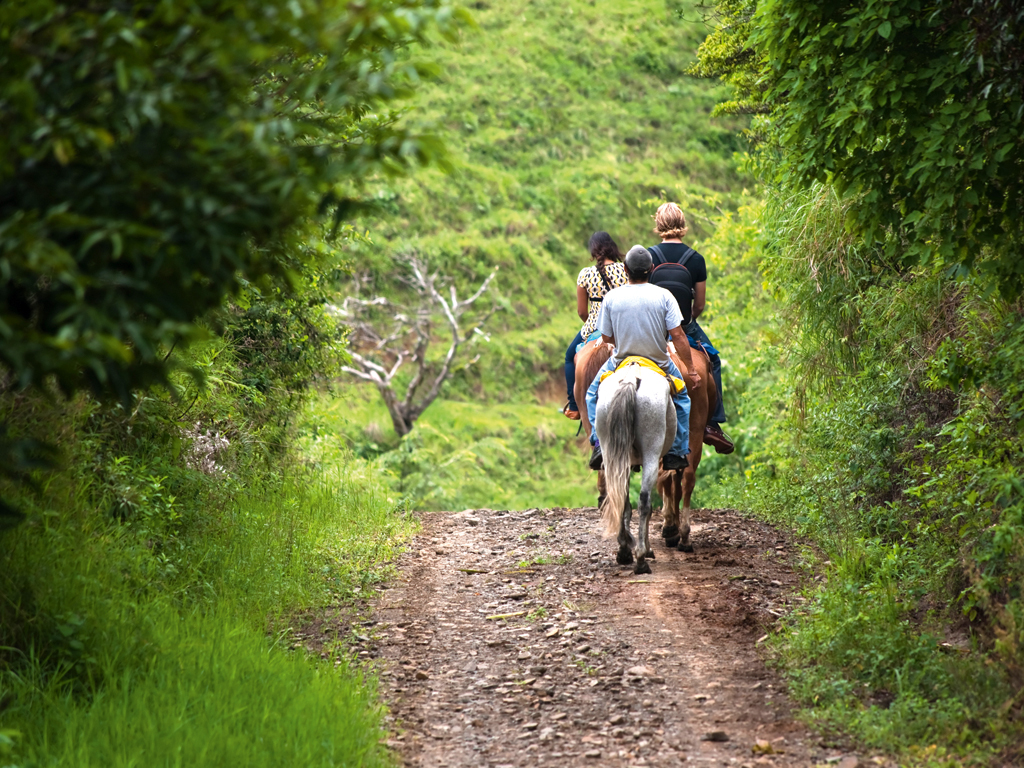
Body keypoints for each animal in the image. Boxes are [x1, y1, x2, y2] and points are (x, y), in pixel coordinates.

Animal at [598, 366, 675, 577]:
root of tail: (632, 377)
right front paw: (647, 549)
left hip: (611, 453)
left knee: (620, 499)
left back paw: (624, 551)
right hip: (652, 450)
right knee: (644, 501)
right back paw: (640, 559)